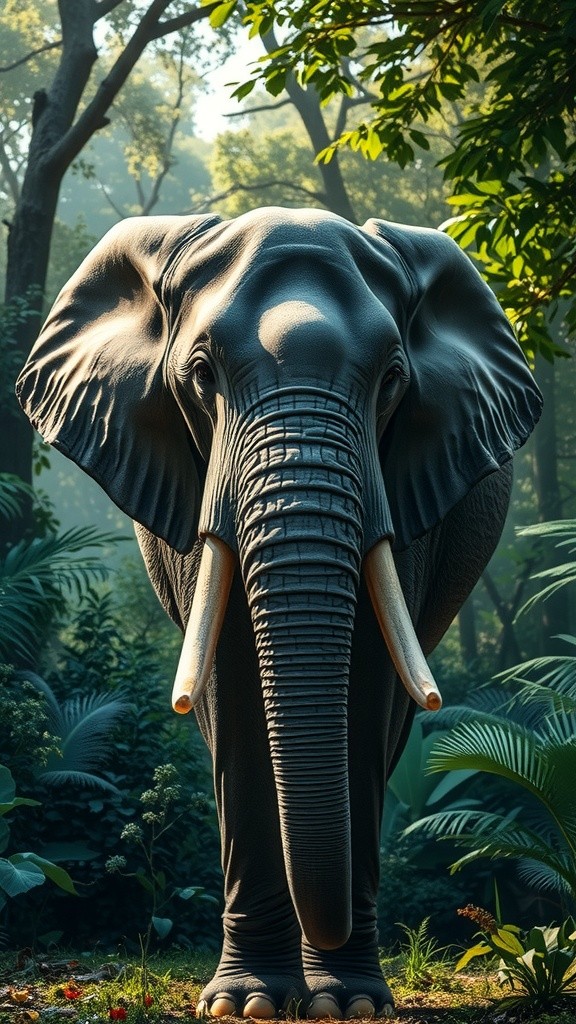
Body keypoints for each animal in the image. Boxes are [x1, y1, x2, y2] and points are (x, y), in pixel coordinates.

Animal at [17, 207, 542, 1019]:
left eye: (392, 381)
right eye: (201, 376)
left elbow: (365, 689)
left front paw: (348, 1004)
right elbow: (230, 694)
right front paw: (249, 1004)